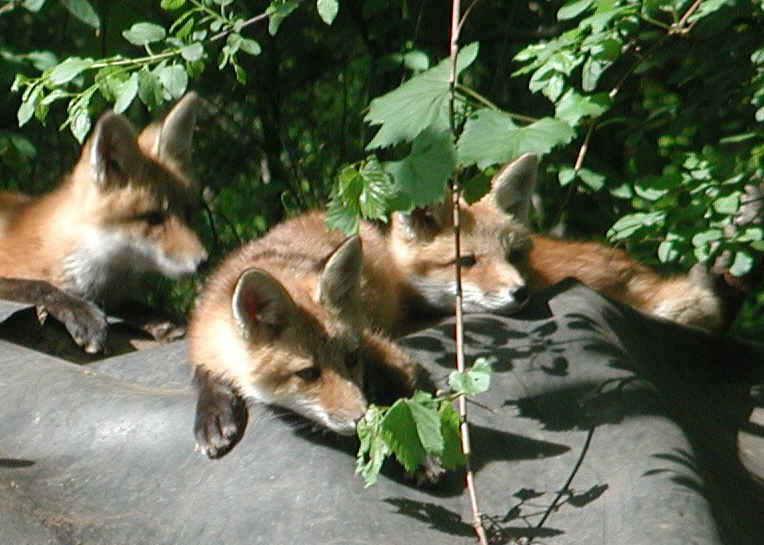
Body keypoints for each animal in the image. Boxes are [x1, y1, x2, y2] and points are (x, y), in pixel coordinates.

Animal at [0, 92, 208, 352]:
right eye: (152, 218)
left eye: (188, 213)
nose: (204, 262)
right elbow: (38, 286)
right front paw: (82, 315)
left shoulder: (109, 292)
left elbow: (130, 303)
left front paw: (163, 321)